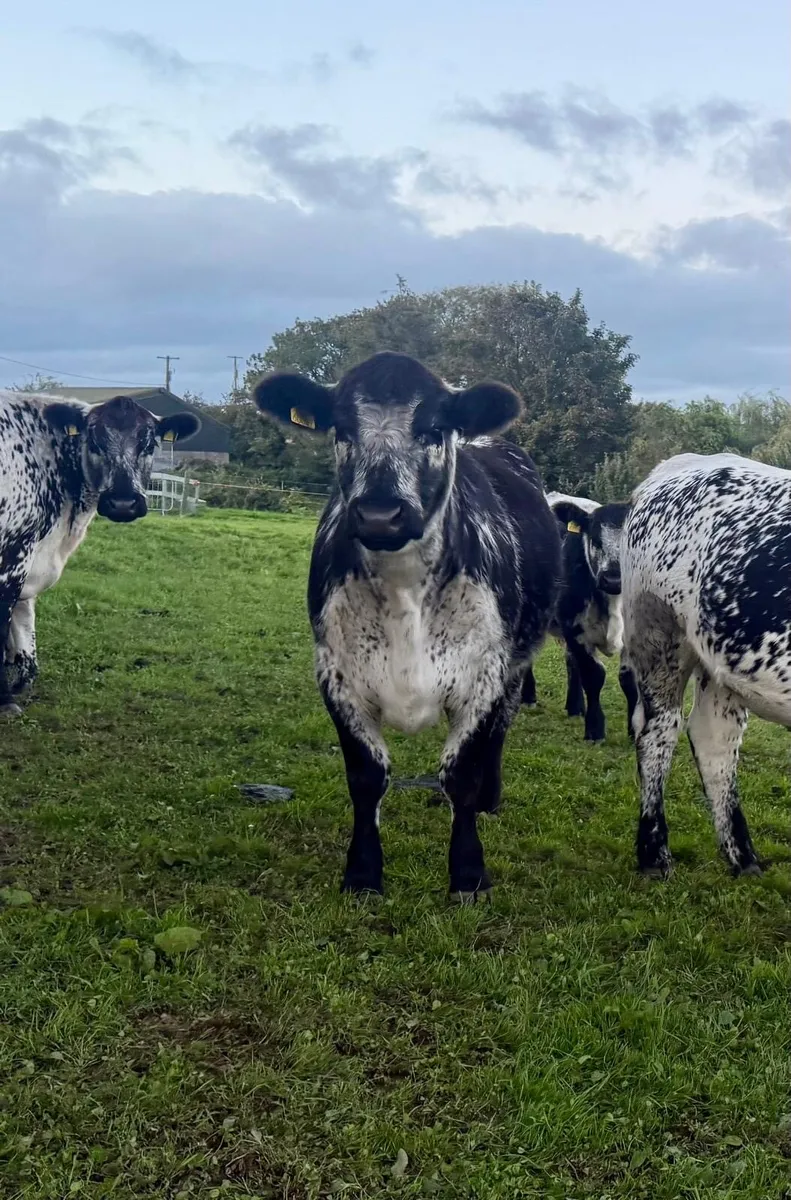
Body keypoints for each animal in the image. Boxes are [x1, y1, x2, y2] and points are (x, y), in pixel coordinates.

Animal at [0, 390, 200, 714]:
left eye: (149, 443)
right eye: (94, 441)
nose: (123, 503)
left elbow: (25, 639)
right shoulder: (12, 555)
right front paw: (5, 700)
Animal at [252, 351, 561, 901]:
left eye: (433, 429)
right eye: (342, 428)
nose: (380, 514)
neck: (404, 591)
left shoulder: (483, 674)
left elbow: (462, 774)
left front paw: (468, 874)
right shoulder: (336, 674)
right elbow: (366, 775)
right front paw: (362, 874)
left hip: (516, 666)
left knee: (500, 732)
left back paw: (491, 799)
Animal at [521, 491, 636, 742]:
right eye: (595, 539)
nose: (613, 579)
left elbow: (629, 680)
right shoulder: (575, 629)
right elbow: (594, 676)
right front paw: (594, 730)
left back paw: (575, 707)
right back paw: (528, 697)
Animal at [621, 451, 791, 879]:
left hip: (721, 661)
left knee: (715, 739)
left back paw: (743, 858)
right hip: (659, 637)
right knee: (658, 734)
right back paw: (654, 854)